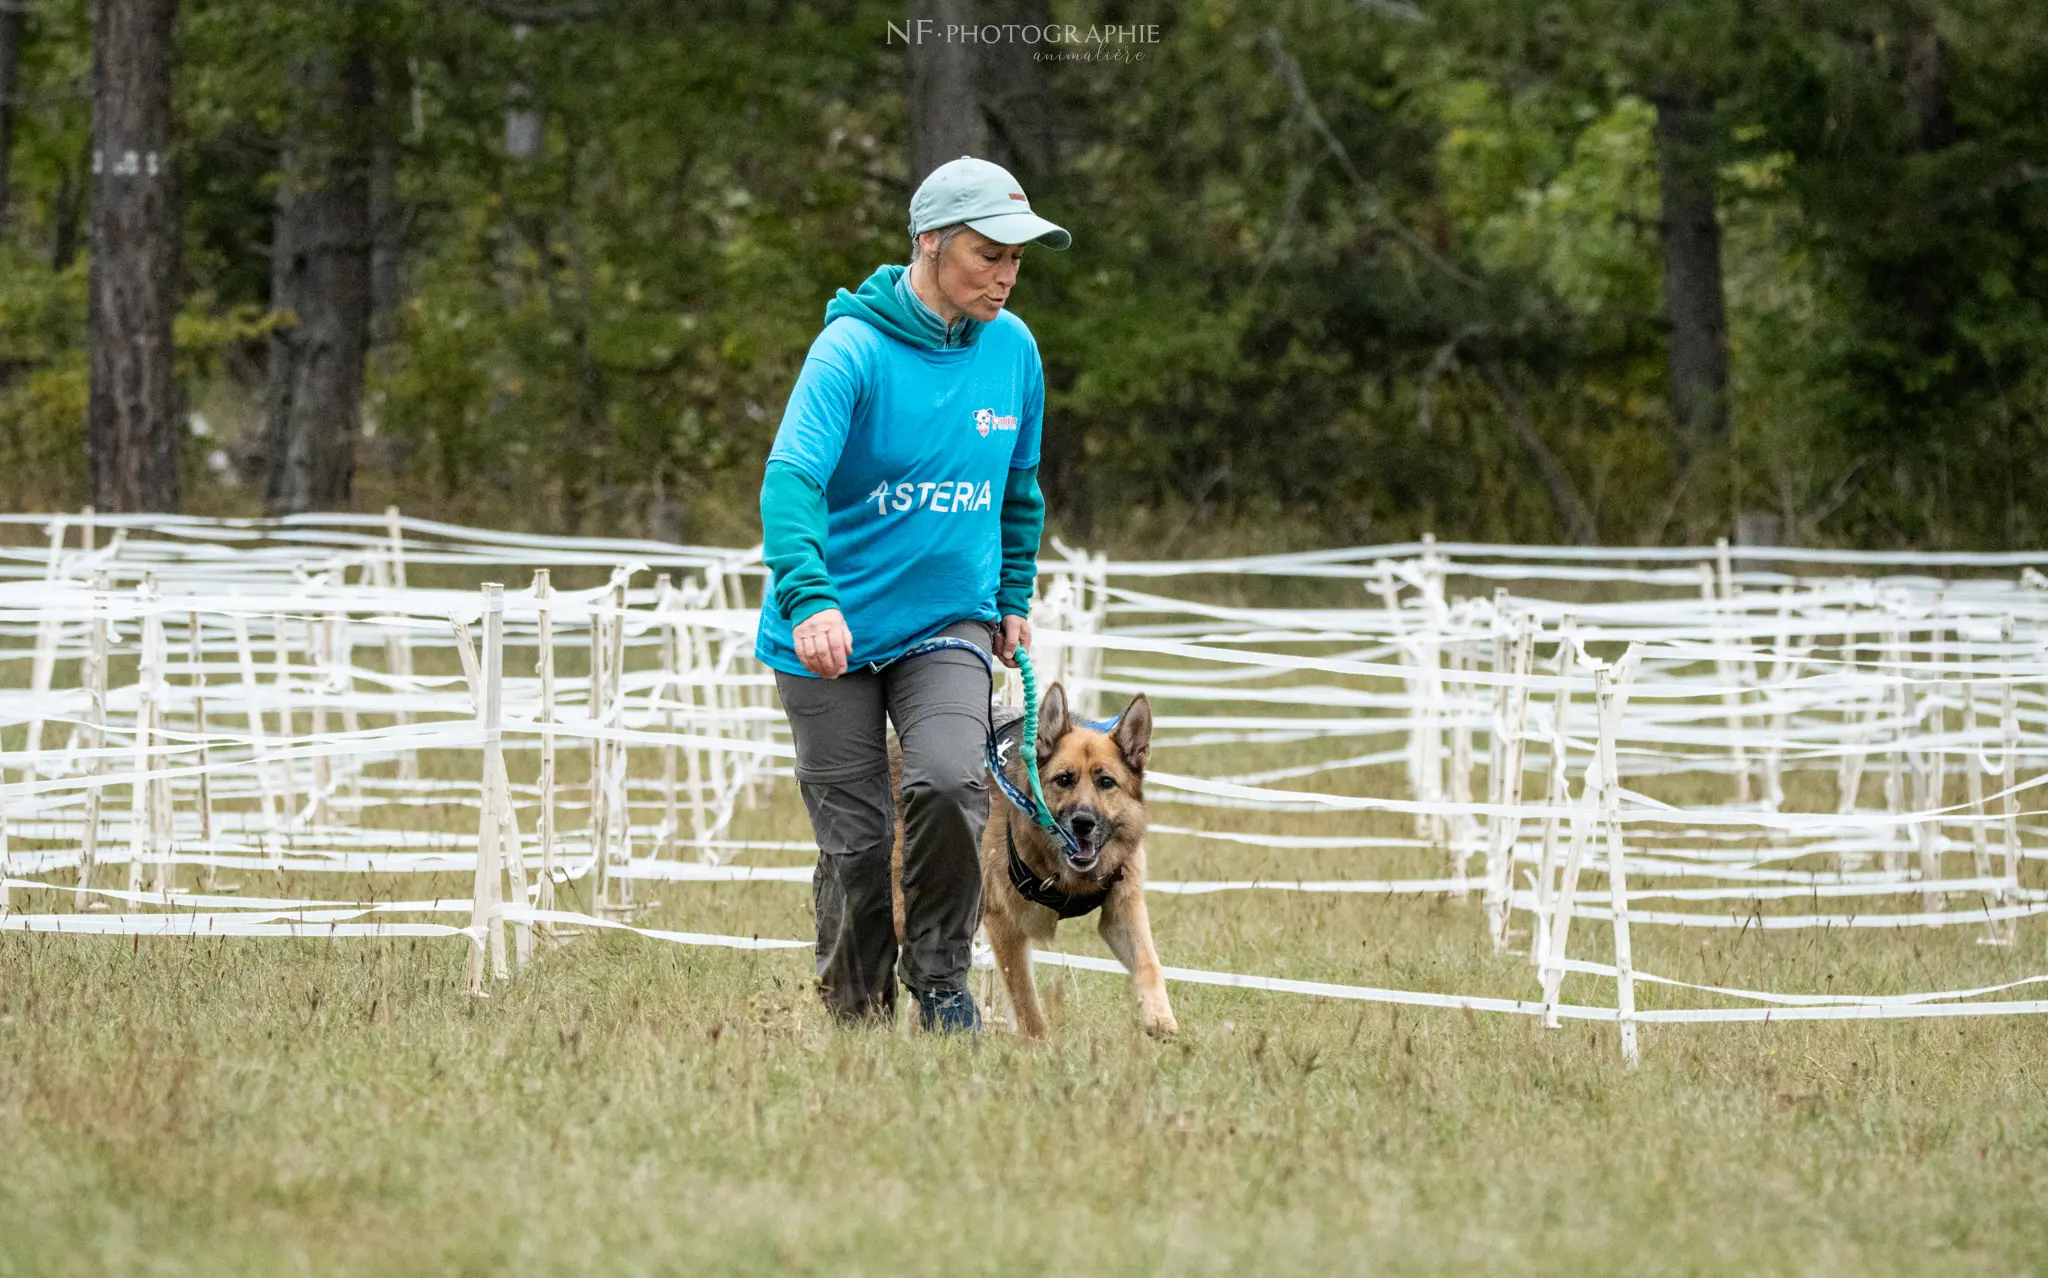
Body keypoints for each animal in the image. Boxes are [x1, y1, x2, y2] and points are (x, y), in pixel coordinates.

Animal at [888, 679, 1179, 1040]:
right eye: (1064, 779)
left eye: (1106, 782)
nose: (1083, 822)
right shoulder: (1006, 926)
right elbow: (1026, 1002)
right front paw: (1040, 1048)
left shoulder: (1122, 910)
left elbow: (1149, 963)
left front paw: (1159, 1018)